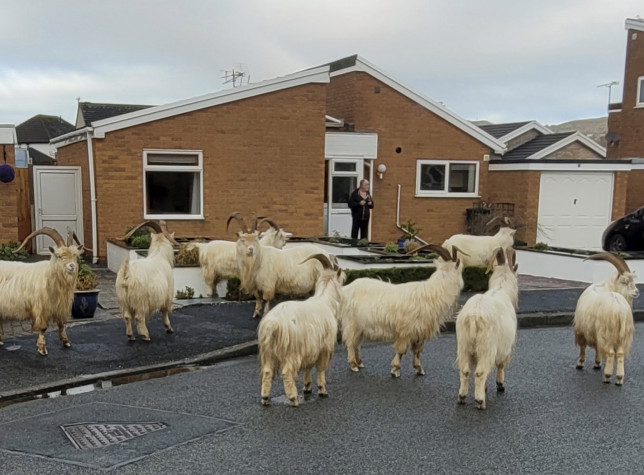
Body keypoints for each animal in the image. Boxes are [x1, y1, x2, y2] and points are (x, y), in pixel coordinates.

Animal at [260, 255, 344, 408]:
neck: (325, 301)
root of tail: (273, 323)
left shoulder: (310, 348)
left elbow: (308, 367)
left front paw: (307, 387)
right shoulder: (324, 347)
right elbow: (321, 368)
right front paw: (322, 390)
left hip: (267, 351)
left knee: (267, 371)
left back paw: (265, 397)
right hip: (291, 352)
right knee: (287, 372)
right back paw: (293, 398)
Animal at [338, 245, 462, 380]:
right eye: (460, 269)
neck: (433, 292)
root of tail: (346, 289)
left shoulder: (420, 332)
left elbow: (417, 351)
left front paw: (419, 369)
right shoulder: (406, 330)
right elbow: (401, 350)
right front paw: (396, 369)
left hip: (360, 326)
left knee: (356, 343)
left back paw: (359, 362)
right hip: (352, 323)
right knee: (351, 342)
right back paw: (353, 365)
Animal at [452, 249, 520, 410]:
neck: (501, 288)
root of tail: (474, 316)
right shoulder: (505, 347)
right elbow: (500, 365)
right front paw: (500, 385)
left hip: (464, 346)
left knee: (465, 371)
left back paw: (462, 397)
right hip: (486, 346)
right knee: (480, 372)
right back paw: (480, 401)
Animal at [572, 255, 640, 384]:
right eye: (624, 281)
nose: (637, 292)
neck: (607, 287)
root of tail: (620, 312)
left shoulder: (582, 329)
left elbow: (584, 346)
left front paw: (581, 363)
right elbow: (598, 347)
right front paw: (597, 363)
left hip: (607, 333)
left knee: (610, 353)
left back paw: (607, 376)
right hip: (624, 336)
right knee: (620, 353)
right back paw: (619, 378)